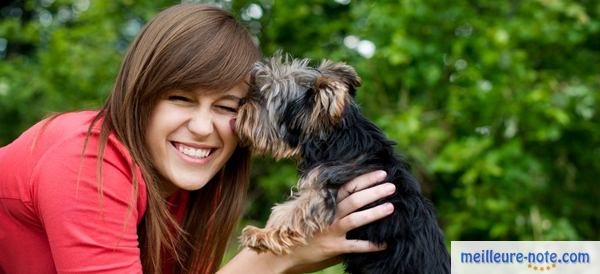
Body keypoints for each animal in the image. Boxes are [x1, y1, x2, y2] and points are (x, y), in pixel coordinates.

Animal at [237, 54, 448, 272]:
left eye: (263, 96)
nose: (242, 102)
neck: (335, 136)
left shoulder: (323, 186)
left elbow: (290, 211)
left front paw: (260, 235)